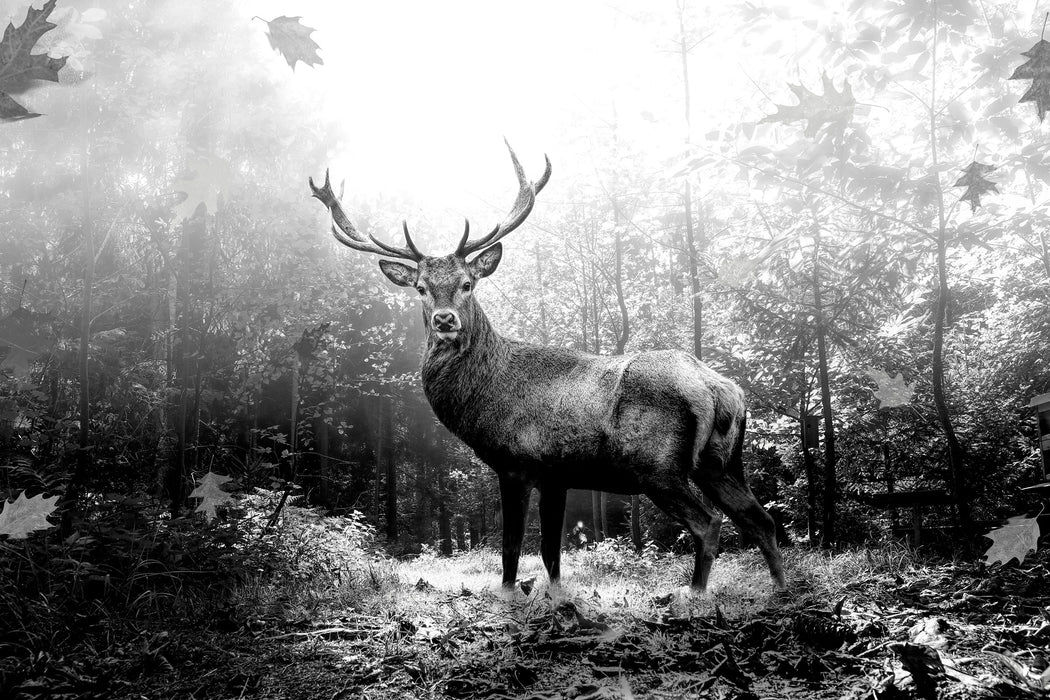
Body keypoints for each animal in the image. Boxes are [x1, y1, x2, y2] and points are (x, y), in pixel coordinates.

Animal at [306, 143, 785, 596]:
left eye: (467, 283)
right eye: (421, 288)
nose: (445, 320)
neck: (486, 396)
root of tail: (718, 388)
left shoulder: (516, 462)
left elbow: (512, 547)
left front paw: (508, 597)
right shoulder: (558, 475)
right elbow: (552, 552)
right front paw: (555, 598)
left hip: (657, 464)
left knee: (710, 523)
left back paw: (696, 594)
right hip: (721, 462)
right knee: (761, 520)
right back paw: (782, 589)